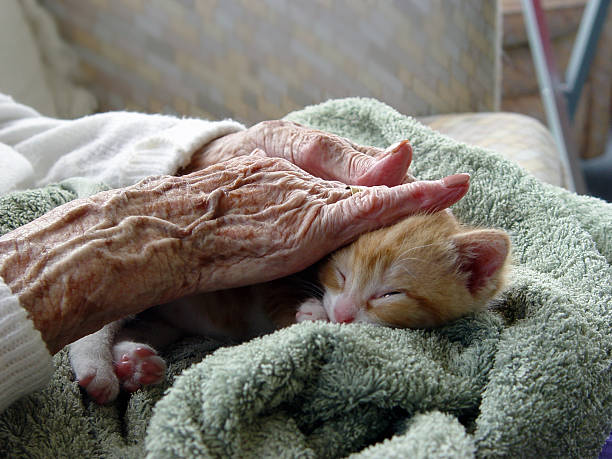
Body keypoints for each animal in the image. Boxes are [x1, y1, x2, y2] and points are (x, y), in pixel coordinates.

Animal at [70, 210, 512, 404]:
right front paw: (310, 313)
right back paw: (98, 369)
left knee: (143, 328)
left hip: (165, 319)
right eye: (342, 274)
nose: (343, 313)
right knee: (94, 326)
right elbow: (280, 294)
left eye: (391, 294)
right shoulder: (273, 267)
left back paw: (133, 362)